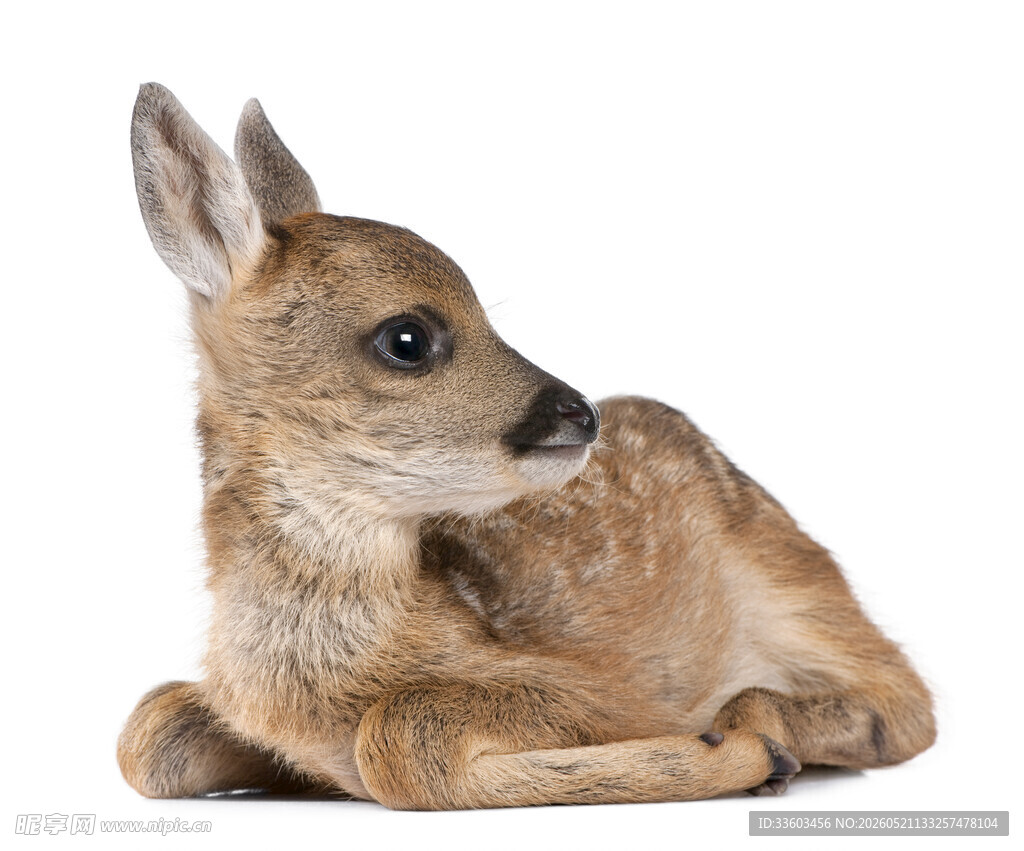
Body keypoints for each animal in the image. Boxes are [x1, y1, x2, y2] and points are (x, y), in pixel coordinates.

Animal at [117, 82, 936, 810]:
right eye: (406, 338)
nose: (578, 412)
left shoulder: (612, 689)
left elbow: (399, 737)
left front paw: (739, 752)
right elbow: (146, 733)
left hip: (793, 580)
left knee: (905, 703)